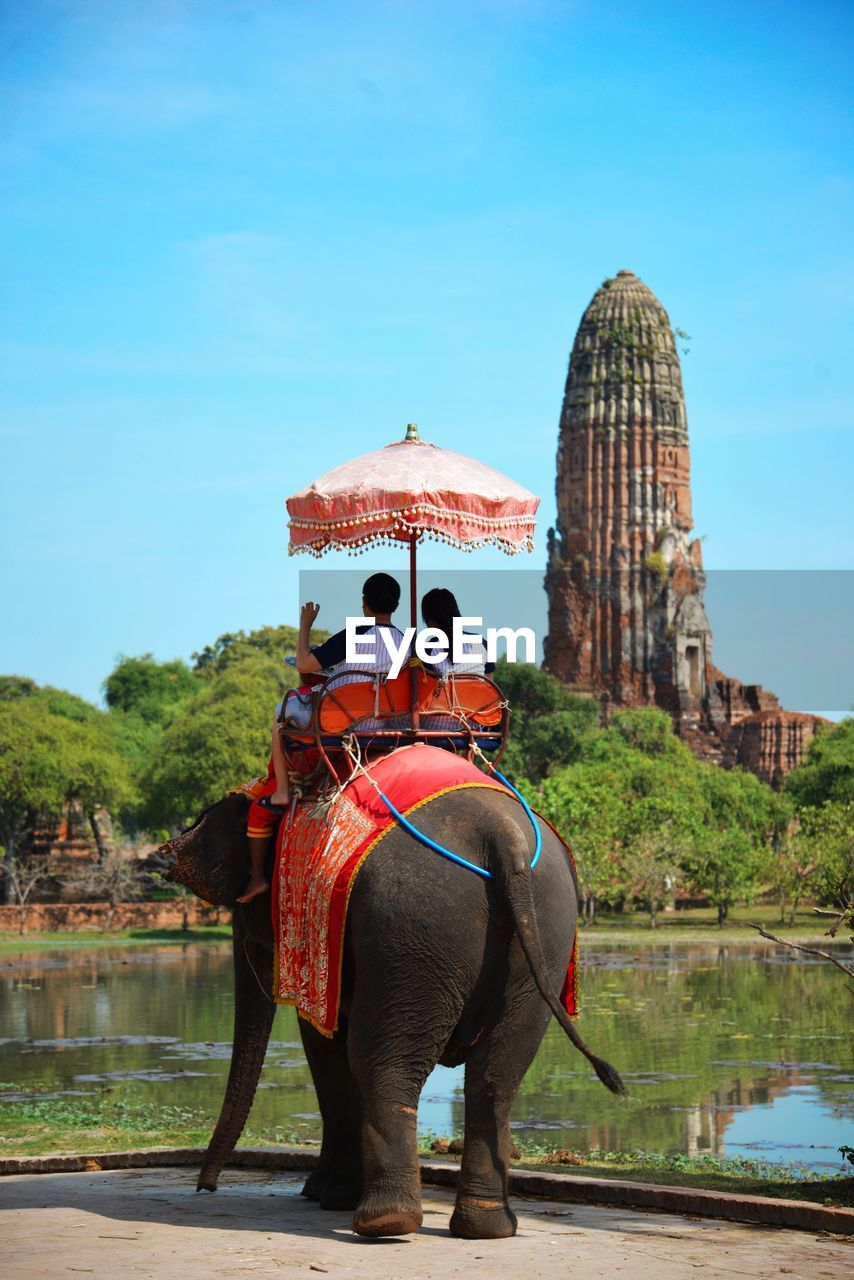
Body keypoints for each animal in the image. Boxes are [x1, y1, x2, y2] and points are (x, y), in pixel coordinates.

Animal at [163, 783, 624, 1233]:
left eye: (246, 904)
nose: (206, 1188)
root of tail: (501, 834)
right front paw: (321, 1192)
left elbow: (324, 1045)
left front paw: (327, 1196)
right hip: (543, 929)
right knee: (499, 1073)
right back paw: (486, 1226)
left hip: (414, 927)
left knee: (384, 1062)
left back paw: (385, 1220)